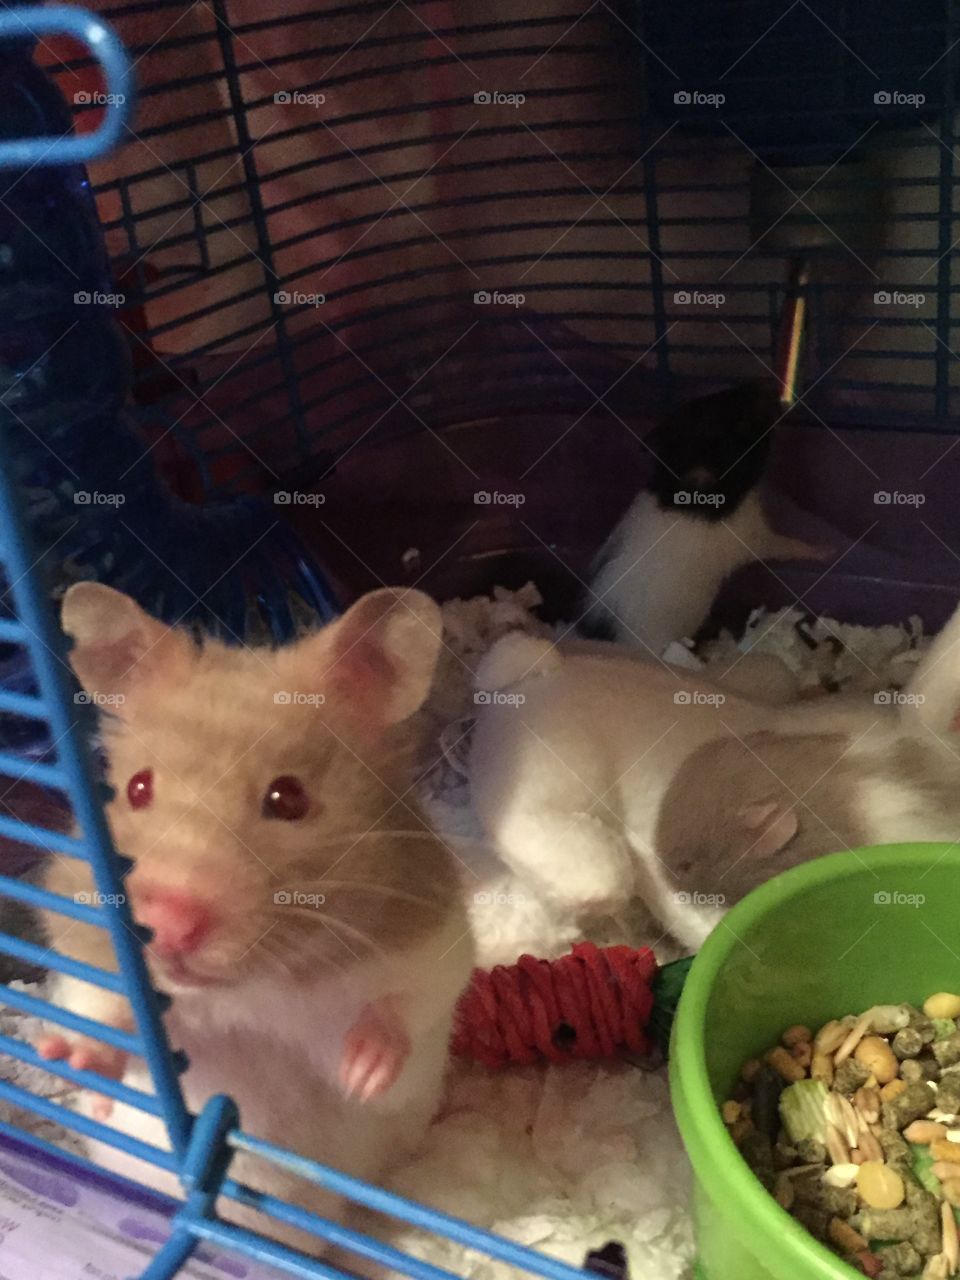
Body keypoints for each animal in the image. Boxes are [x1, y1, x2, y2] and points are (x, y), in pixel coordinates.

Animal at [36, 584, 474, 1256]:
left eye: (287, 798)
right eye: (138, 788)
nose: (169, 924)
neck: (245, 991)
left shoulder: (435, 934)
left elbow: (407, 1004)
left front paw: (362, 1073)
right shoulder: (80, 935)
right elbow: (99, 1008)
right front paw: (74, 1063)